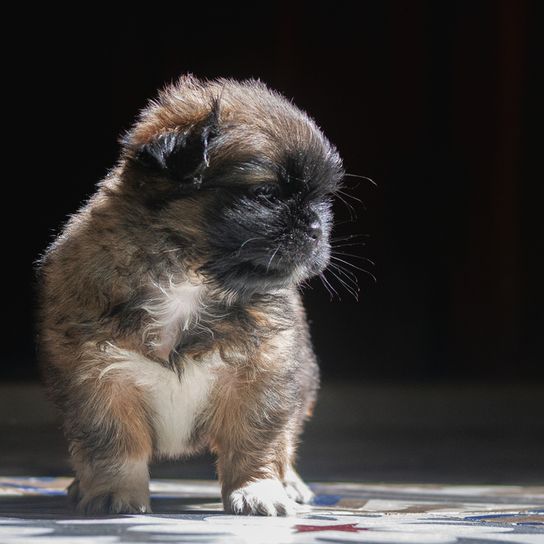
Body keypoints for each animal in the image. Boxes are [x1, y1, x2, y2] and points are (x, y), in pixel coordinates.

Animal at [37, 74, 344, 516]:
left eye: (322, 200)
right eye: (265, 194)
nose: (318, 227)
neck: (188, 278)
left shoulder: (262, 374)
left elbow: (256, 441)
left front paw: (257, 489)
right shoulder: (98, 379)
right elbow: (114, 446)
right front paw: (114, 493)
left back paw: (290, 483)